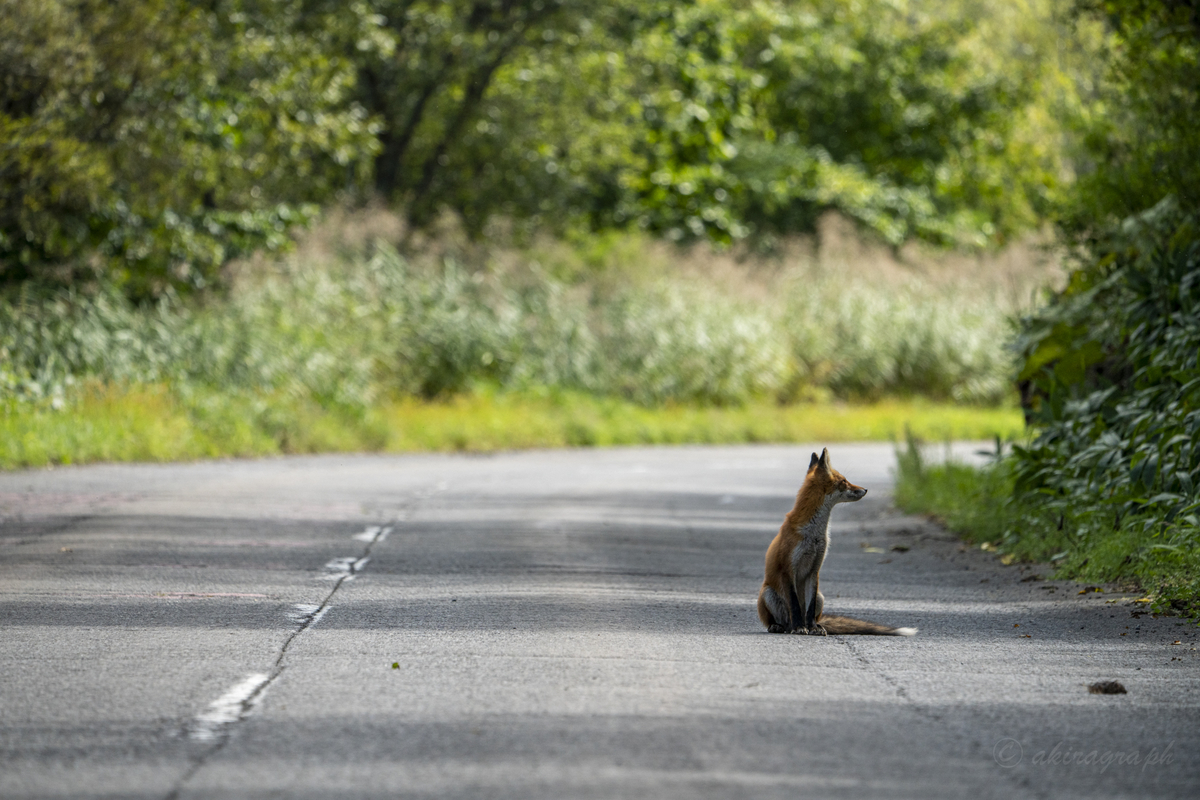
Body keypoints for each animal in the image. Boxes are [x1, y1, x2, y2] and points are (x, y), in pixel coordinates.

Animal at [758, 450, 916, 638]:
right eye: (844, 481)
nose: (865, 489)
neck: (814, 535)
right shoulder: (788, 569)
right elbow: (795, 605)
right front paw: (799, 628)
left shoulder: (814, 570)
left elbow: (809, 609)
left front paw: (812, 628)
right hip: (768, 594)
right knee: (779, 621)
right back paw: (781, 626)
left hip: (821, 596)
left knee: (812, 614)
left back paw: (814, 625)